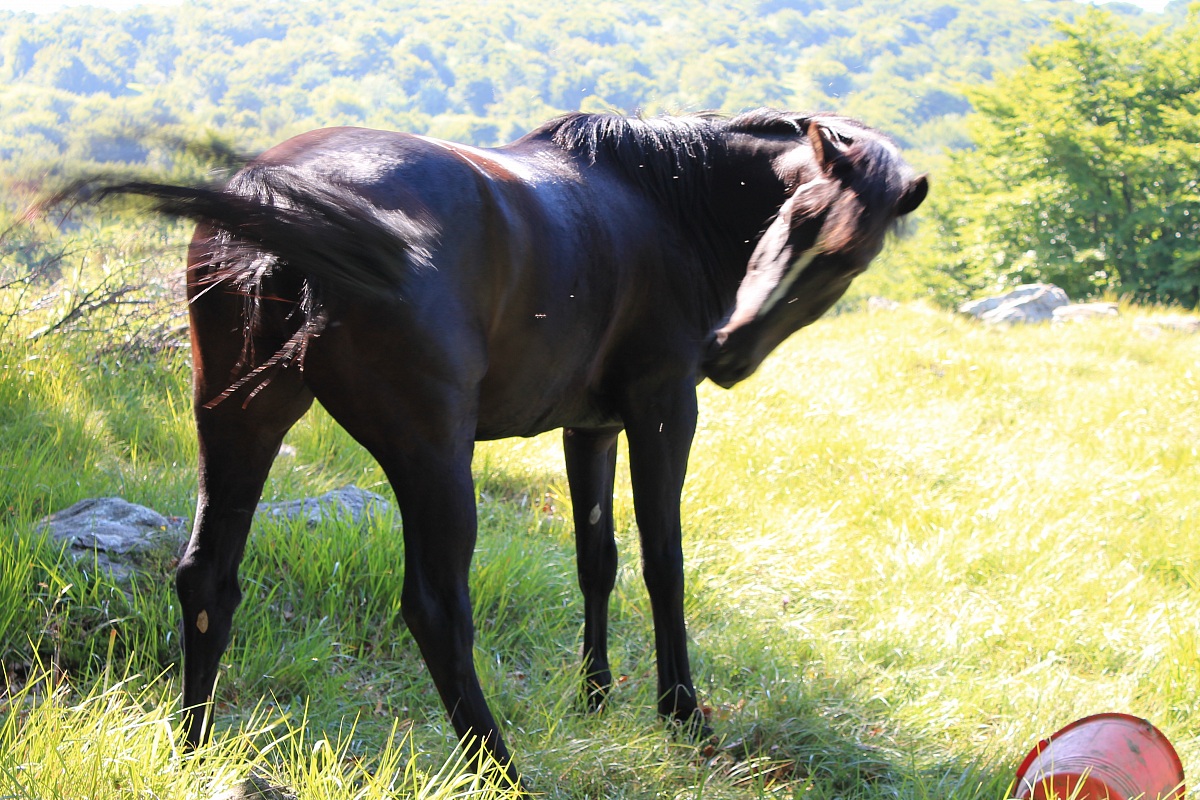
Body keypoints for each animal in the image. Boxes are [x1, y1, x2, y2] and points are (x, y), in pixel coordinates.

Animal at [110, 109, 926, 781]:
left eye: (847, 258)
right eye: (798, 217)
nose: (727, 351)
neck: (667, 202)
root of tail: (283, 207)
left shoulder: (591, 427)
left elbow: (597, 559)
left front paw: (595, 697)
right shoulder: (664, 410)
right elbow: (664, 562)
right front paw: (682, 713)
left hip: (239, 423)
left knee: (207, 579)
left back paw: (194, 748)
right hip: (432, 455)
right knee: (436, 609)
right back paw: (499, 767)